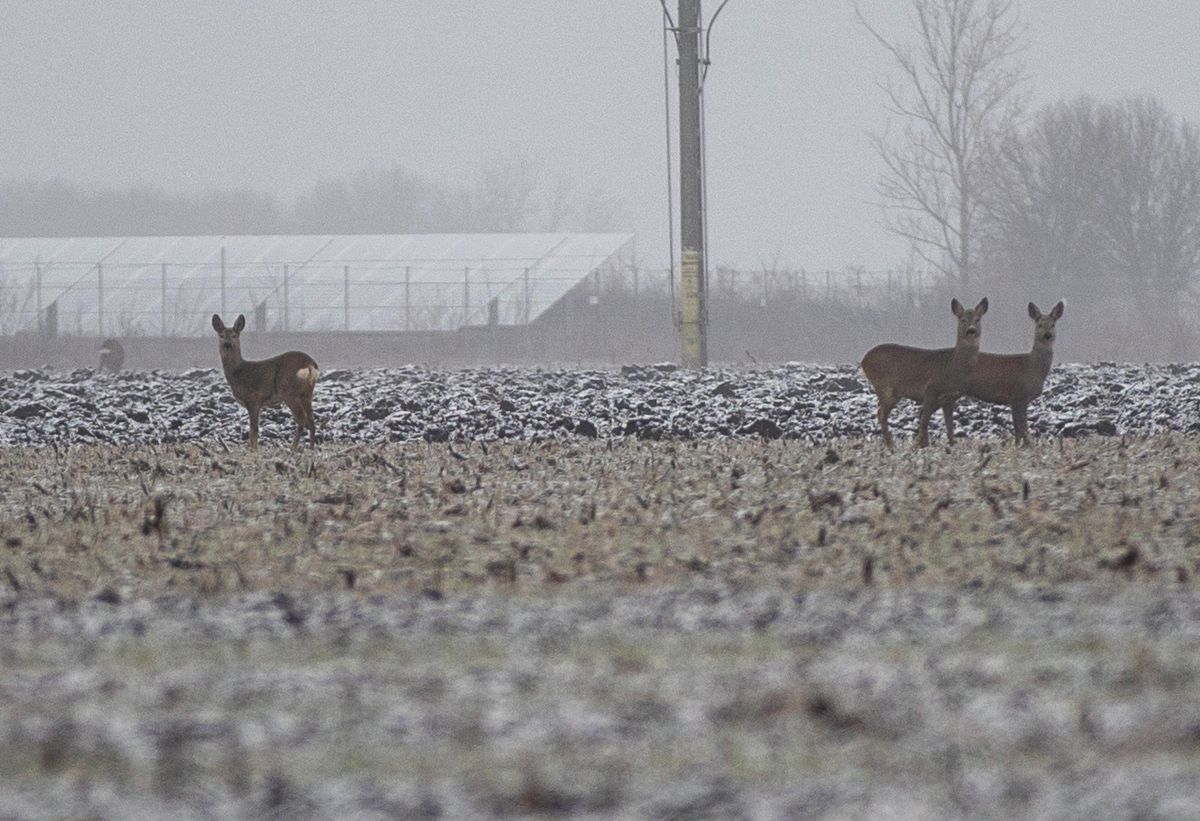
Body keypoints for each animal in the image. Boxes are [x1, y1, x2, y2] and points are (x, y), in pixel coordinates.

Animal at [212, 312, 321, 448]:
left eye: (234, 335)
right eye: (221, 335)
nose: (227, 344)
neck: (238, 373)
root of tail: (310, 364)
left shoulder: (253, 399)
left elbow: (253, 430)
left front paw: (253, 450)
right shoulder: (258, 404)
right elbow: (253, 430)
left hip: (289, 391)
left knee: (302, 418)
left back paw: (293, 449)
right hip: (306, 393)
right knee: (312, 420)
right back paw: (311, 448)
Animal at [859, 296, 988, 448]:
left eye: (977, 319)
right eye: (962, 319)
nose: (971, 330)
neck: (952, 366)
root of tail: (863, 361)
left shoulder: (950, 398)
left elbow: (949, 425)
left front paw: (951, 444)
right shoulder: (930, 389)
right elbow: (924, 419)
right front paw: (920, 445)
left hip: (894, 393)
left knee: (881, 412)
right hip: (883, 386)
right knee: (881, 413)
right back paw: (891, 446)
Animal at [955, 300, 1070, 446]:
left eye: (1053, 324)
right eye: (1039, 325)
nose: (1047, 335)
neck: (1032, 366)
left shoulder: (1015, 399)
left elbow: (1018, 429)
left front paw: (1018, 445)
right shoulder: (1019, 394)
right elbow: (1022, 427)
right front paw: (1026, 446)